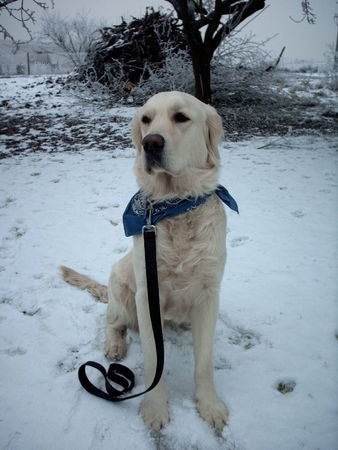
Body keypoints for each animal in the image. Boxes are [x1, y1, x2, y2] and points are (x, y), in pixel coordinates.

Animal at [60, 91, 238, 432]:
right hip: (122, 289)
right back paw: (115, 345)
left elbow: (204, 362)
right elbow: (155, 358)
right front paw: (155, 409)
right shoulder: (146, 295)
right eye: (146, 119)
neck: (175, 204)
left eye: (181, 117)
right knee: (111, 321)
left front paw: (209, 405)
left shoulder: (209, 293)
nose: (150, 143)